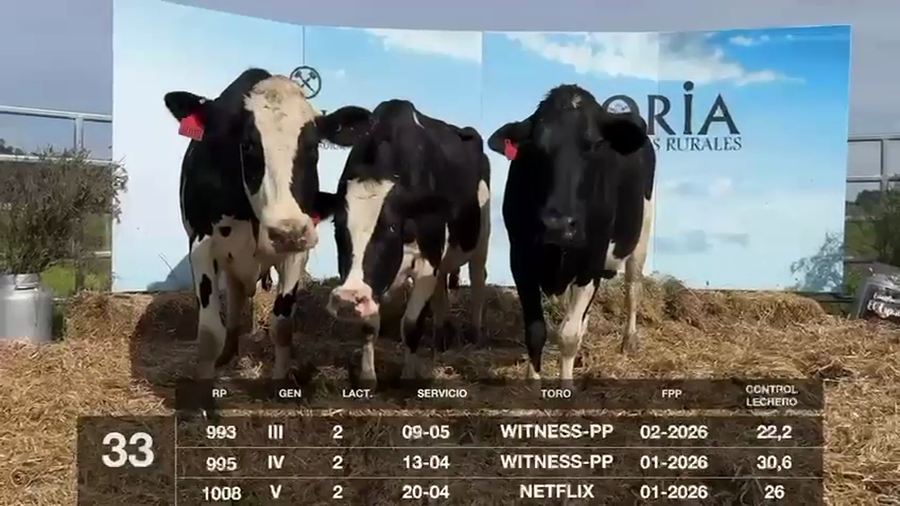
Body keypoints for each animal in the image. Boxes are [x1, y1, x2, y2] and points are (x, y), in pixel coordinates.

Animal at [162, 68, 370, 385]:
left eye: (313, 147)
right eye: (247, 145)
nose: (287, 232)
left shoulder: (297, 251)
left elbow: (282, 325)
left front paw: (280, 381)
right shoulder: (201, 246)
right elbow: (209, 333)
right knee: (234, 303)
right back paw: (228, 353)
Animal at [314, 99, 491, 385]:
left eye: (392, 226)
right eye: (337, 227)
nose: (347, 300)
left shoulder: (428, 259)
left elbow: (411, 324)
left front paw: (409, 375)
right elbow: (369, 326)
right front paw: (367, 377)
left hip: (479, 238)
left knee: (478, 279)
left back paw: (475, 334)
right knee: (442, 291)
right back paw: (439, 338)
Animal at [487, 84, 654, 389]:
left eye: (597, 145)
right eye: (534, 146)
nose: (557, 224)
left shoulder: (591, 262)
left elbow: (568, 335)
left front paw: (566, 387)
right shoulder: (521, 257)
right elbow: (536, 330)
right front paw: (532, 382)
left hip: (641, 235)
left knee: (633, 288)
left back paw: (629, 340)